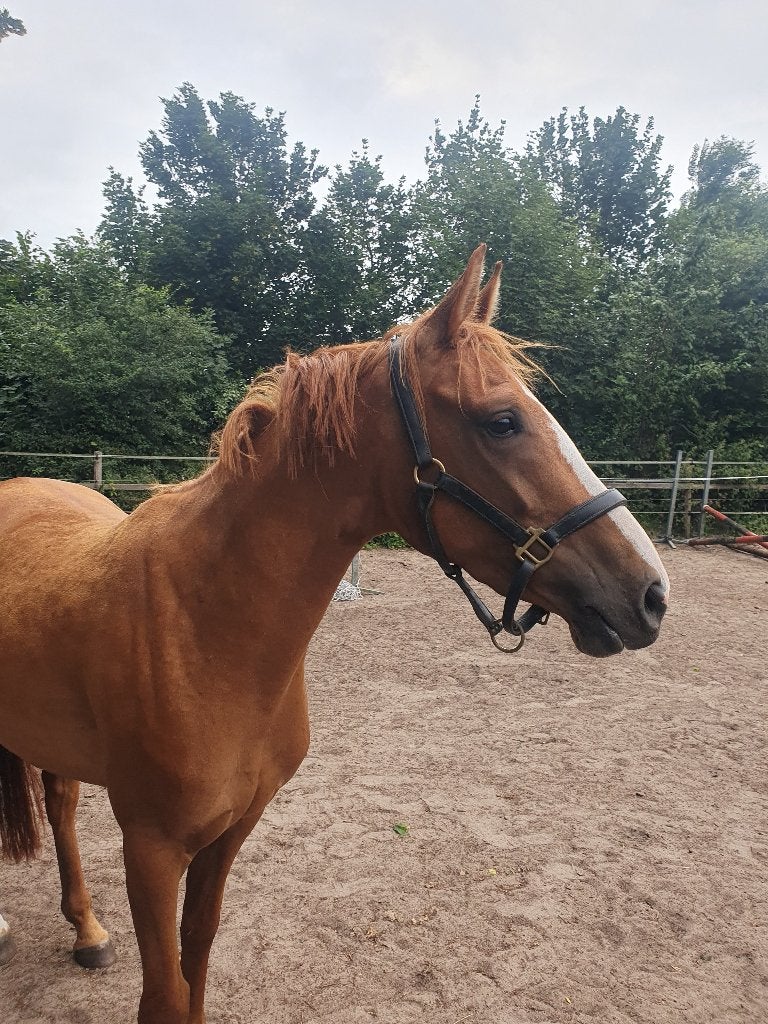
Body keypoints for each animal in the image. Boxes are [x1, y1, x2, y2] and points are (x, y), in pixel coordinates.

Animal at [0, 246, 668, 1023]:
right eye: (501, 421)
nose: (651, 593)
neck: (204, 632)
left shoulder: (231, 832)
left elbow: (197, 958)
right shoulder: (152, 847)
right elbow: (167, 991)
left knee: (61, 806)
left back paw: (87, 930)